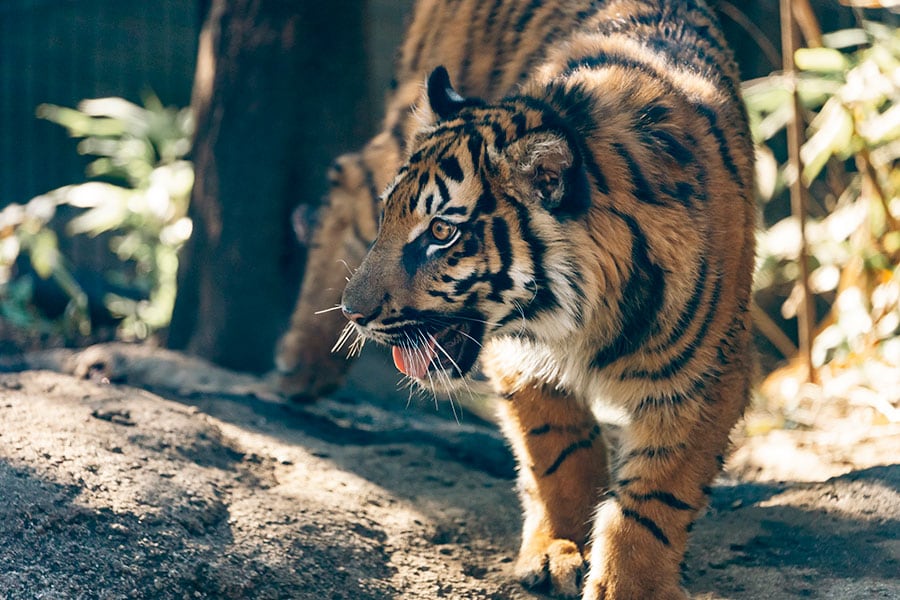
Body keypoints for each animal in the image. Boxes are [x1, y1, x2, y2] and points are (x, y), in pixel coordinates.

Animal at [332, 1, 752, 600]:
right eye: (393, 220)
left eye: (441, 232)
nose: (353, 312)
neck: (587, 317)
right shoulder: (520, 356)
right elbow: (556, 448)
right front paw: (560, 547)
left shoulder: (707, 377)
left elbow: (654, 495)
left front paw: (630, 584)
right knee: (347, 178)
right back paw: (296, 373)